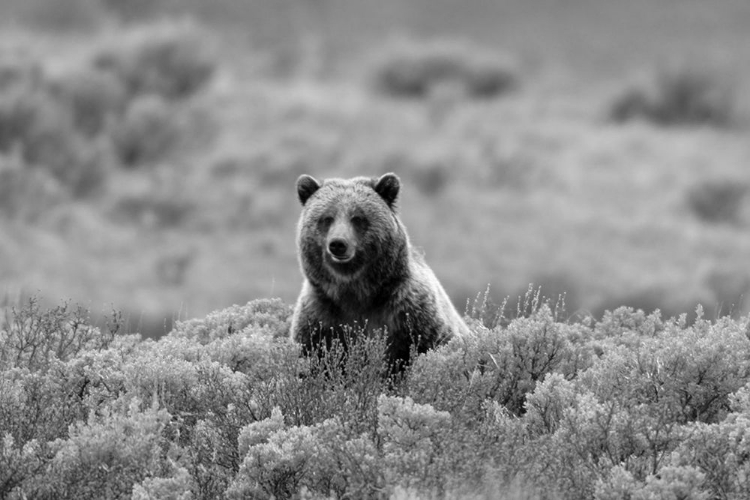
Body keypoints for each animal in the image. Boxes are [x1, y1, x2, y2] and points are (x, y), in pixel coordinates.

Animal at [290, 173, 468, 368]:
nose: (338, 243)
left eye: (357, 218)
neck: (355, 291)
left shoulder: (411, 315)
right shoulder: (319, 318)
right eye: (327, 218)